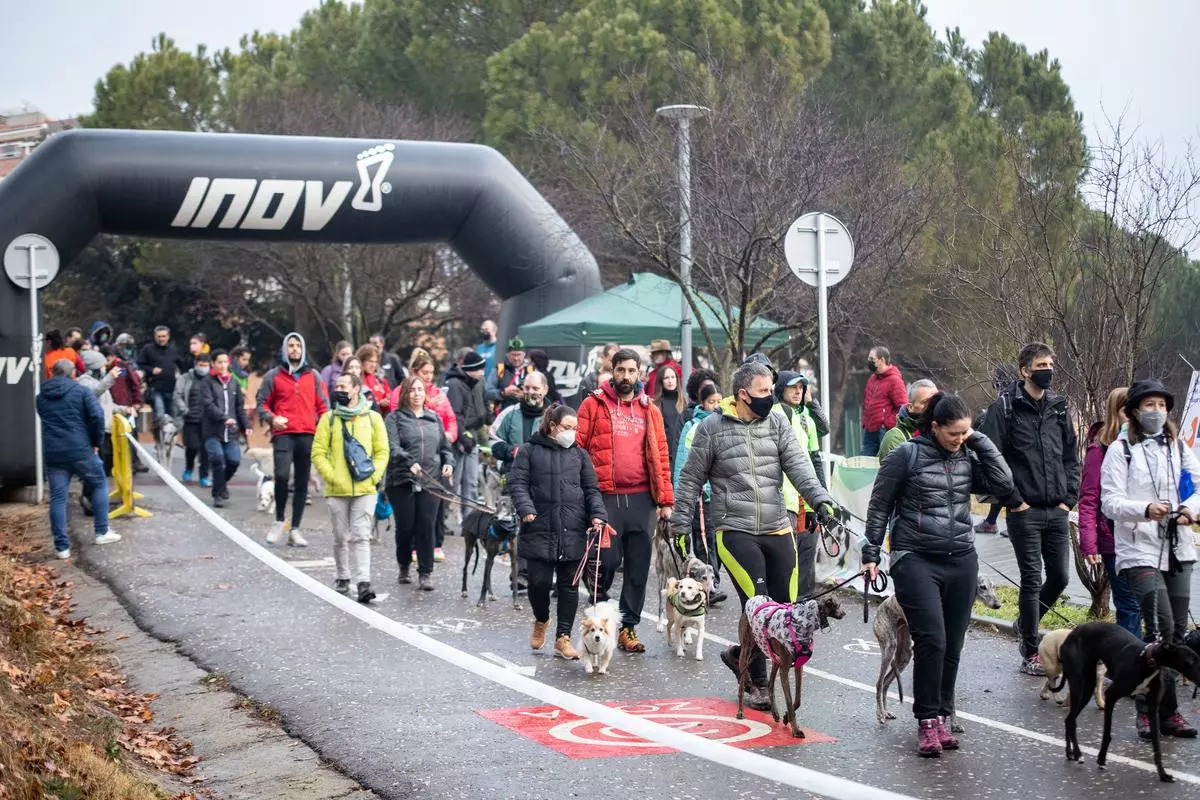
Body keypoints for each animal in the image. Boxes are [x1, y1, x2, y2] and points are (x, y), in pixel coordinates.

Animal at [737, 593, 845, 737]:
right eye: (838, 605)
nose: (844, 613)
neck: (803, 621)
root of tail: (755, 599)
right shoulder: (785, 669)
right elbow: (789, 700)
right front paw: (795, 729)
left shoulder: (798, 666)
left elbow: (798, 699)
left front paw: (786, 717)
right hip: (746, 652)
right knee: (742, 682)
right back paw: (740, 712)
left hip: (774, 657)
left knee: (770, 684)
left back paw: (775, 713)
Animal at [875, 573, 1002, 732]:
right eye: (983, 587)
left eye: (994, 586)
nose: (998, 605)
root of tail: (880, 608)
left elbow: (949, 693)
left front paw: (953, 724)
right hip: (889, 649)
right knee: (879, 683)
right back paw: (880, 715)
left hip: (904, 655)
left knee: (886, 681)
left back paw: (886, 713)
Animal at [1062, 621, 1200, 783]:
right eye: (1191, 661)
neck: (1147, 661)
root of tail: (1071, 633)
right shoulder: (1111, 696)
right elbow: (1107, 734)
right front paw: (1101, 759)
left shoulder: (1153, 706)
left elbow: (1156, 744)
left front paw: (1162, 774)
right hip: (1078, 685)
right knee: (1072, 721)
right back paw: (1078, 754)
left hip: (1088, 686)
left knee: (1068, 720)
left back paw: (1070, 753)